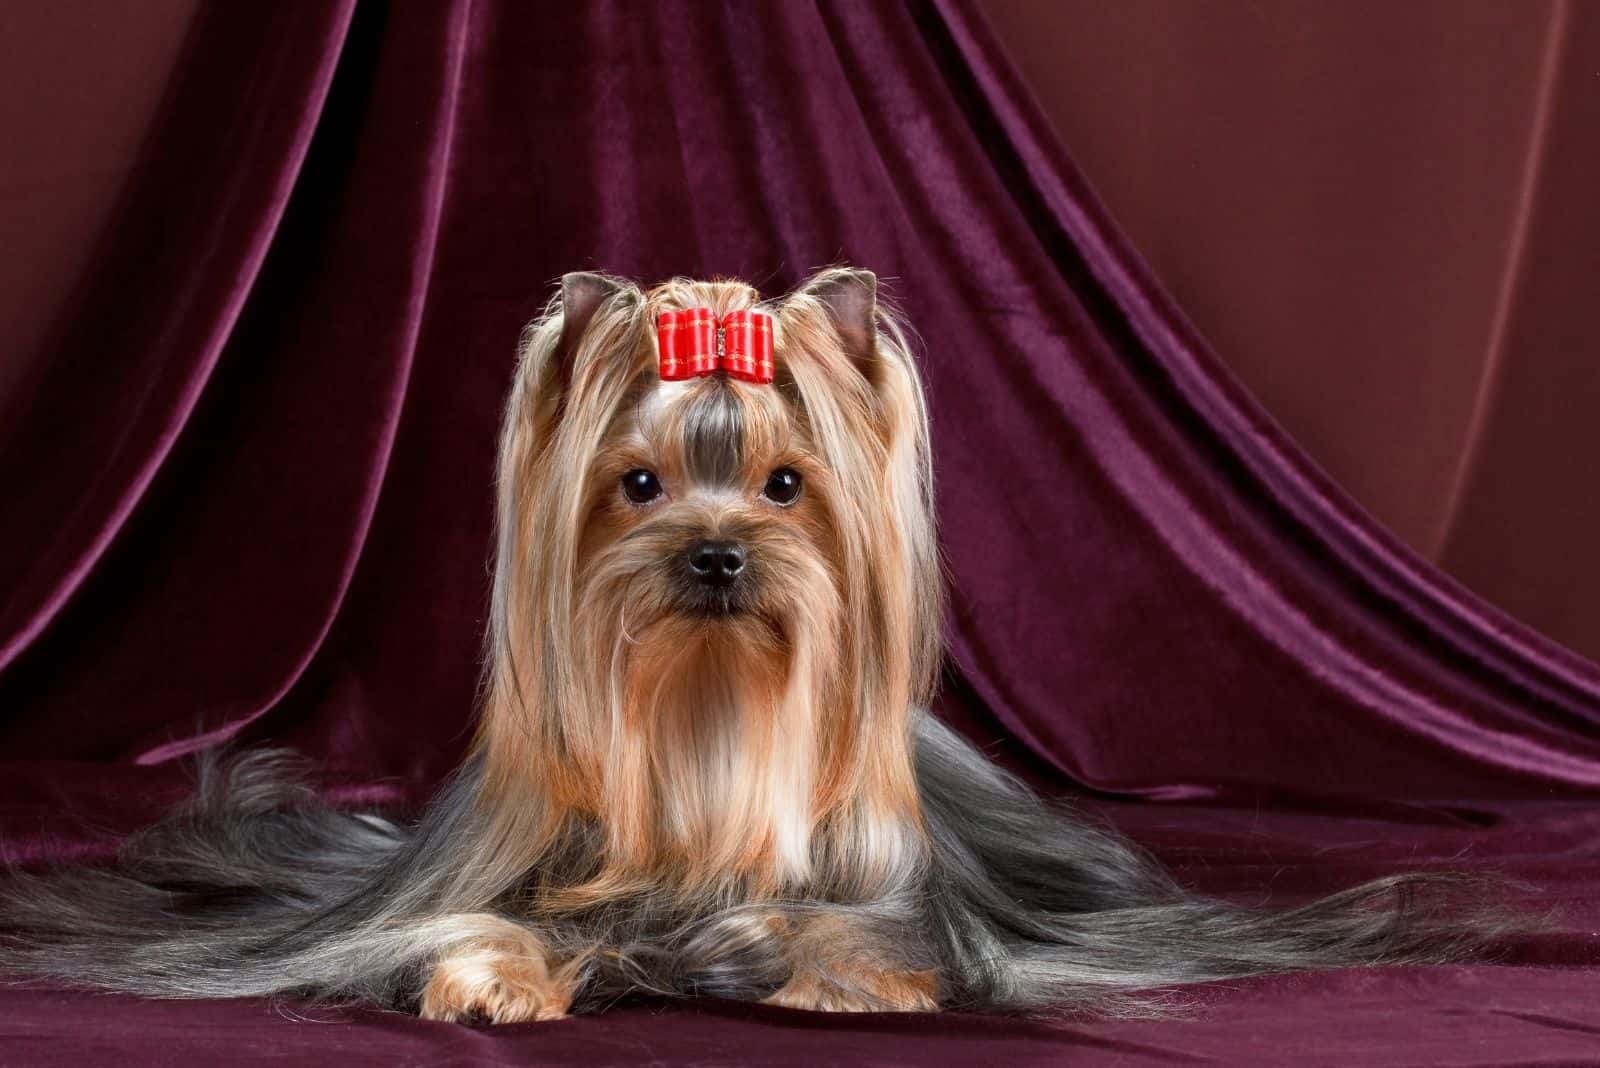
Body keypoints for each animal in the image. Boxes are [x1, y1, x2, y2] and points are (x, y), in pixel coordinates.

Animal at [0, 265, 1497, 1016]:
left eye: (784, 484)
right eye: (638, 483)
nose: (716, 553)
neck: (706, 711)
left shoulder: (902, 903)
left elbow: (863, 933)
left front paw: (815, 970)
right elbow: (458, 926)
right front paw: (494, 979)